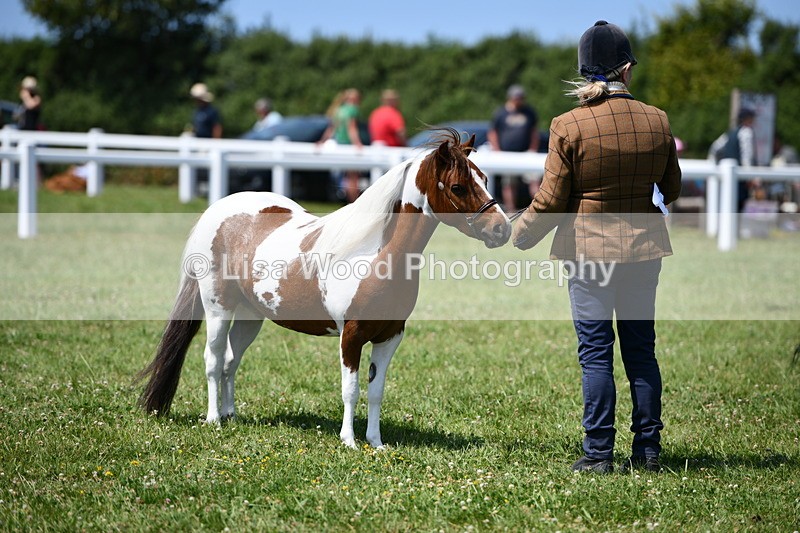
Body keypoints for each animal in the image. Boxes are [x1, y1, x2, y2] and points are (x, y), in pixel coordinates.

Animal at [137, 129, 510, 449]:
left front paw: (376, 442)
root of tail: (217, 210)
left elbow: (376, 391)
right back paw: (214, 418)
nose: (501, 230)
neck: (376, 255)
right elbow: (351, 389)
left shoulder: (390, 336)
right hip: (218, 309)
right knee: (213, 360)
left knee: (231, 360)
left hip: (249, 316)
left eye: (485, 179)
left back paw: (231, 415)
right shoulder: (352, 336)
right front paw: (349, 441)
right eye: (458, 186)